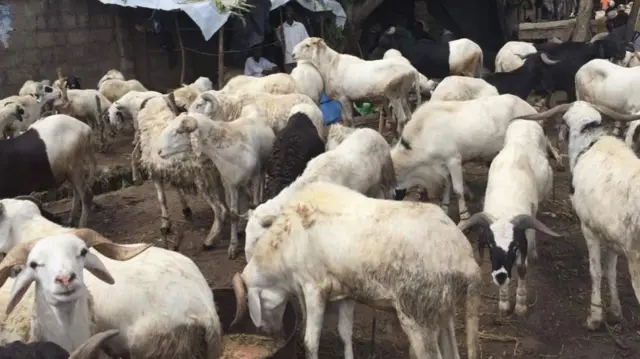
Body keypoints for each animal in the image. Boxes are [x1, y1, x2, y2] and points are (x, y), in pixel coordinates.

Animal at [159, 112, 274, 258]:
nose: (159, 151)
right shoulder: (231, 184)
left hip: (262, 167)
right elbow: (233, 214)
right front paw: (233, 246)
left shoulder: (255, 176)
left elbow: (255, 203)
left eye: (177, 132)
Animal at [232, 181, 478, 359]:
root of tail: (466, 259)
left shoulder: (314, 287)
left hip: (418, 317)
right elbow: (344, 334)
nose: (270, 333)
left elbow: (311, 342)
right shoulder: (346, 291)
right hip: (442, 311)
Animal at [292, 37, 420, 136]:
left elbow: (349, 119)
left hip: (394, 94)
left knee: (402, 118)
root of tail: (412, 70)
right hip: (403, 94)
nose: (293, 54)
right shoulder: (340, 100)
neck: (330, 65)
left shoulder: (344, 98)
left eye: (307, 45)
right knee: (409, 116)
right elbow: (345, 119)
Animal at [460, 120, 560, 316]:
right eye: (490, 245)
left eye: (514, 246)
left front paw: (520, 304)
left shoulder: (524, 235)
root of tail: (526, 121)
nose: (500, 276)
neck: (506, 208)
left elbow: (521, 268)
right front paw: (504, 302)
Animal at [512, 101, 640, 332]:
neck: (590, 143)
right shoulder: (611, 237)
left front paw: (595, 317)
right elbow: (610, 271)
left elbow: (595, 271)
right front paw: (615, 312)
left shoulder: (589, 229)